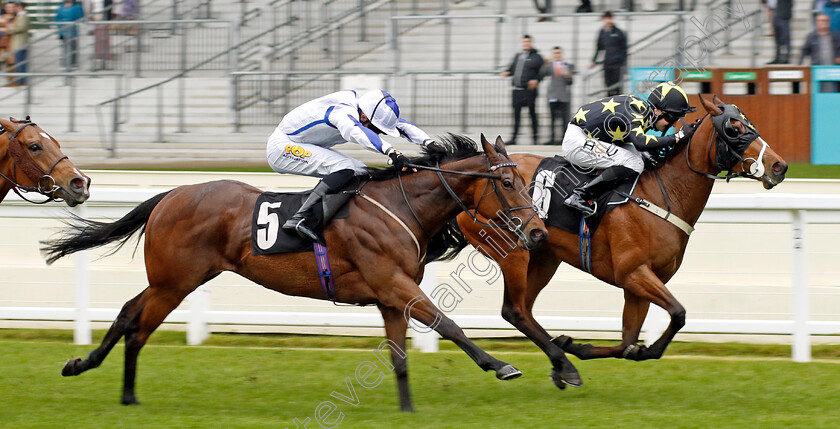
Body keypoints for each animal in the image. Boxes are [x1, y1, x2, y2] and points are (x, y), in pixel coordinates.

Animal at [41, 135, 552, 412]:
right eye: (508, 183)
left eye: (527, 182)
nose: (538, 231)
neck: (400, 204)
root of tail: (171, 194)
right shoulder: (394, 283)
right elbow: (449, 324)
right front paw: (501, 365)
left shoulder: (391, 296)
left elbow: (400, 357)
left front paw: (407, 409)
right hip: (174, 281)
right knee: (137, 325)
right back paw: (111, 382)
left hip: (174, 280)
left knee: (129, 314)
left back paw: (100, 376)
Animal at [452, 93, 788, 388]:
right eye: (734, 129)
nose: (779, 166)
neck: (663, 195)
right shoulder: (634, 272)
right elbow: (678, 314)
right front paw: (577, 346)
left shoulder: (639, 284)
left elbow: (629, 343)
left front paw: (579, 345)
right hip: (514, 251)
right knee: (515, 310)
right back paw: (561, 364)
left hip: (545, 255)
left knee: (524, 309)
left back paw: (561, 361)